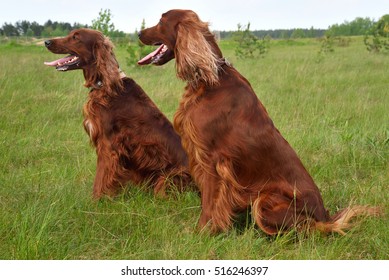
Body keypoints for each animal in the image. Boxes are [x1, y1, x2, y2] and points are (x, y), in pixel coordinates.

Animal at [44, 28, 192, 199]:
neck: (105, 84)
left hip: (168, 177)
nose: (46, 42)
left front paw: (96, 201)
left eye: (76, 37)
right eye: (70, 34)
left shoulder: (109, 145)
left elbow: (100, 178)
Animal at [139, 9, 378, 235]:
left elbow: (209, 202)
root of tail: (325, 217)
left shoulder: (213, 159)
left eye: (161, 21)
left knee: (304, 229)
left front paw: (203, 232)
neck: (210, 80)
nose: (139, 33)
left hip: (266, 201)